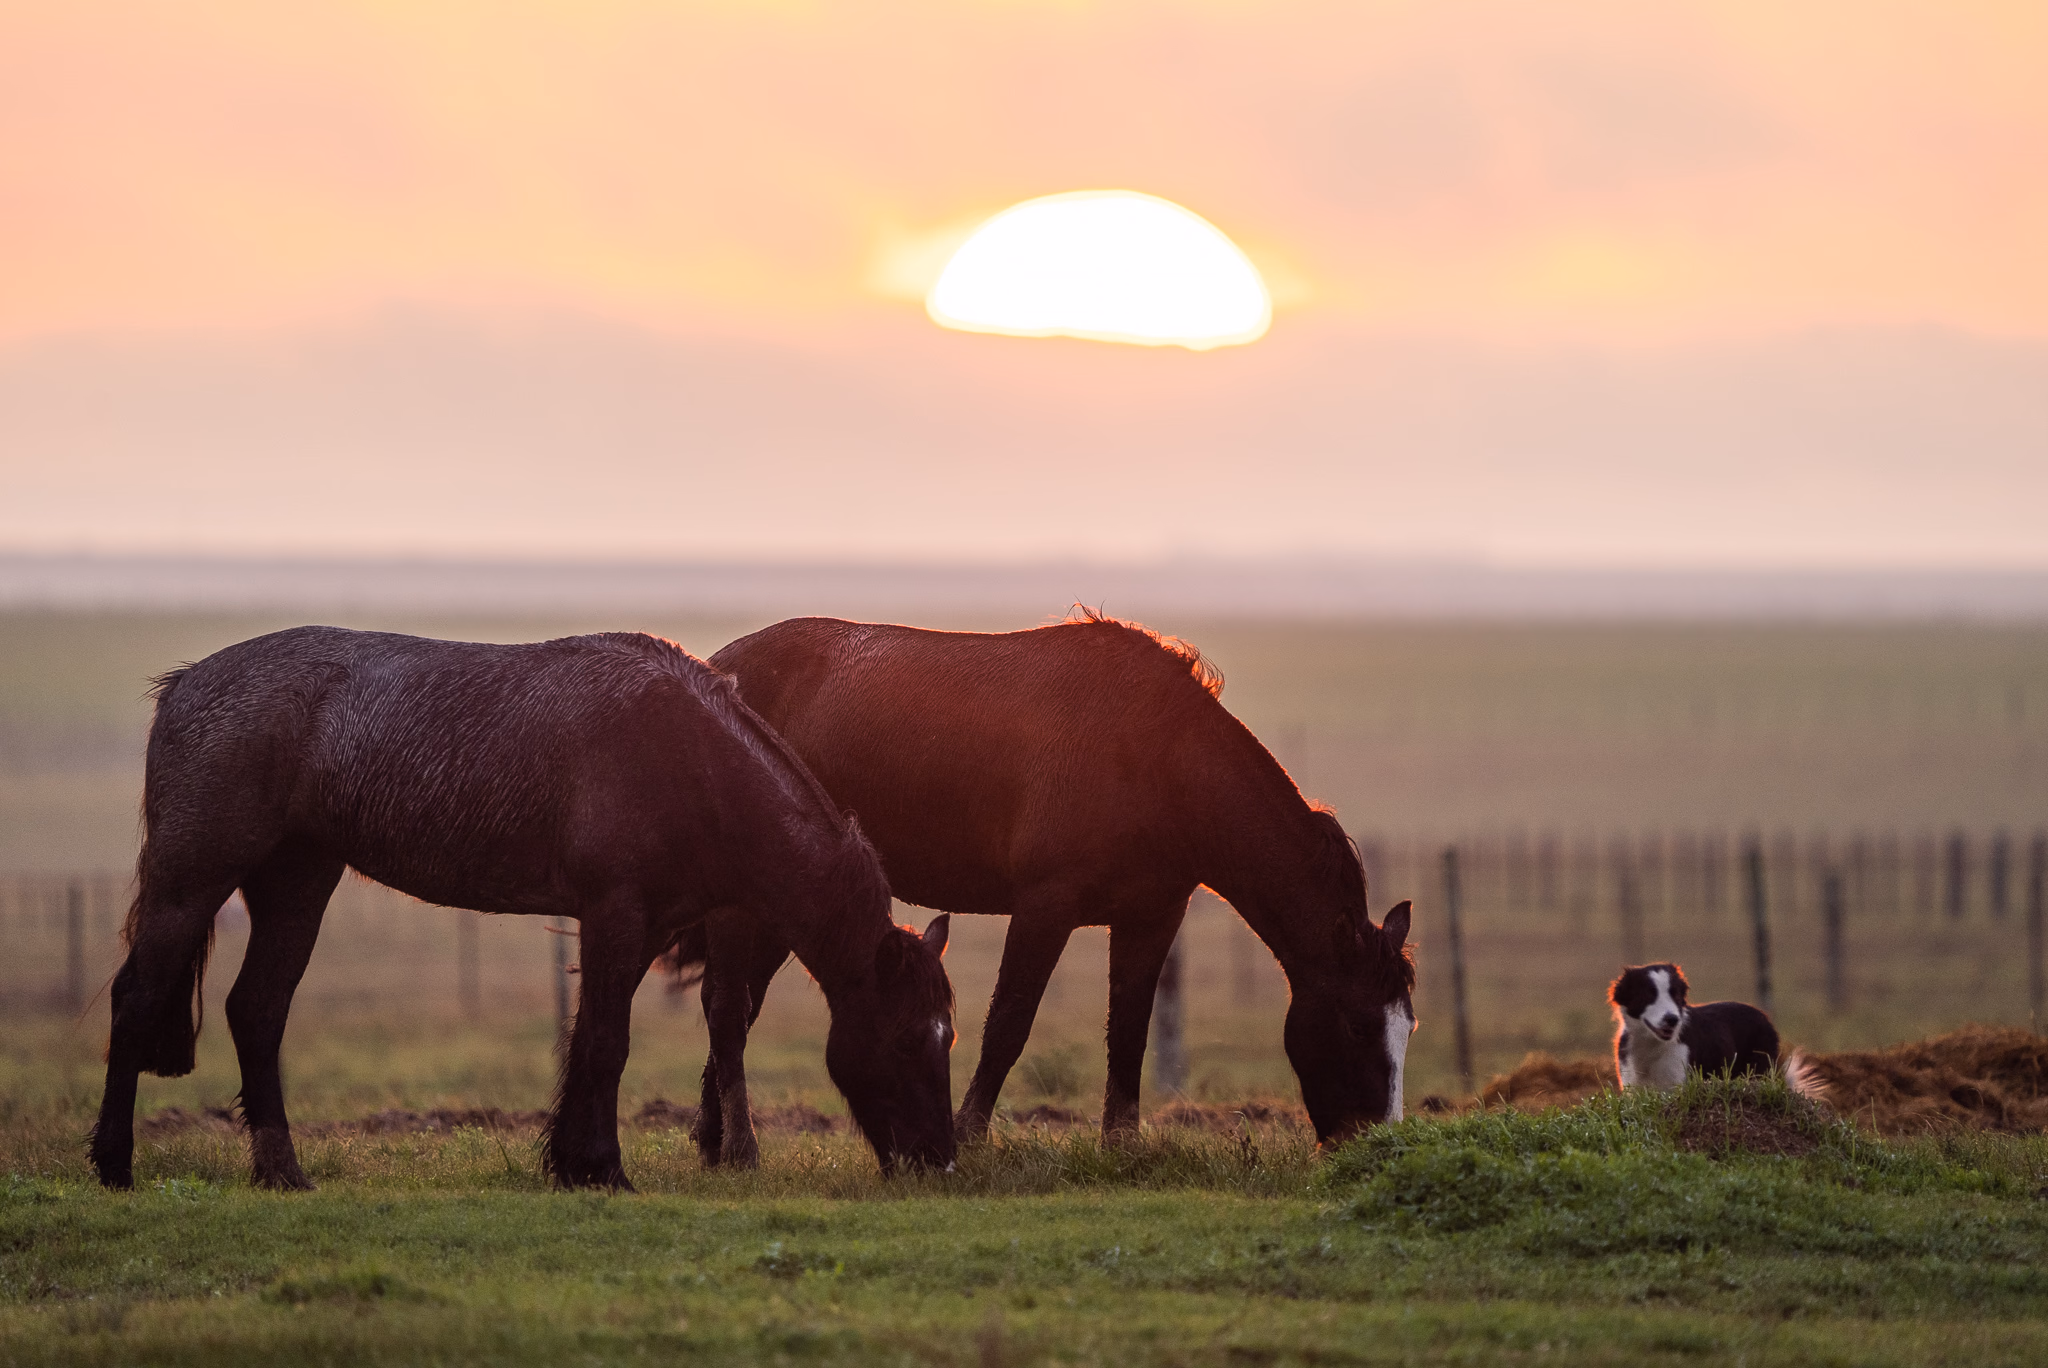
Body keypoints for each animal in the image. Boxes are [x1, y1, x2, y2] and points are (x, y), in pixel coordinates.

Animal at [88, 627, 957, 1191]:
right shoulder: (614, 915)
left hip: (298, 882)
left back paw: (281, 1170)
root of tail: (185, 685)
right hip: (192, 881)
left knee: (257, 1010)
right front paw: (602, 1169)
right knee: (137, 998)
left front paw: (571, 1162)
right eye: (909, 1038)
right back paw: (114, 1162)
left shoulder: (635, 928)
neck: (691, 758)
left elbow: (590, 1042)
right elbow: (606, 1043)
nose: (941, 1161)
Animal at [703, 611, 1416, 1150]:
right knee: (727, 1006)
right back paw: (738, 1147)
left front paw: (1121, 1147)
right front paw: (969, 1136)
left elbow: (1129, 1031)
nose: (1376, 1144)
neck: (1157, 758)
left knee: (733, 1005)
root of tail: (717, 669)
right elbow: (1008, 1025)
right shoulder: (1046, 905)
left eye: (1406, 1027)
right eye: (1358, 1024)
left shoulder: (1151, 917)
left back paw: (712, 1140)